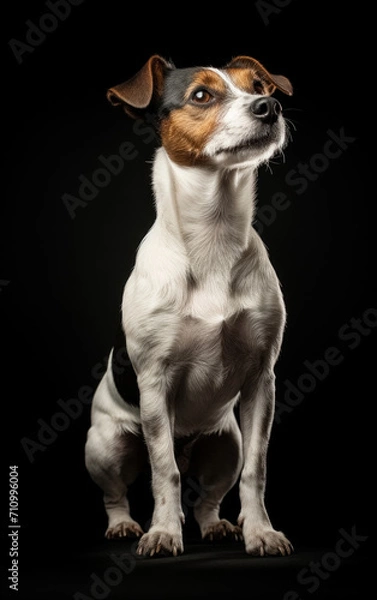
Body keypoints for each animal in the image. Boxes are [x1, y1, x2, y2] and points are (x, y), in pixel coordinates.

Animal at [85, 54, 294, 556]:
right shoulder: (154, 384)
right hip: (105, 445)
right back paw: (126, 525)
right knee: (118, 491)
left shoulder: (261, 382)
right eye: (201, 95)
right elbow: (165, 472)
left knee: (208, 497)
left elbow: (256, 471)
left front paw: (261, 532)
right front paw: (163, 532)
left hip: (224, 445)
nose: (270, 106)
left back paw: (216, 525)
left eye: (258, 86)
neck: (213, 237)